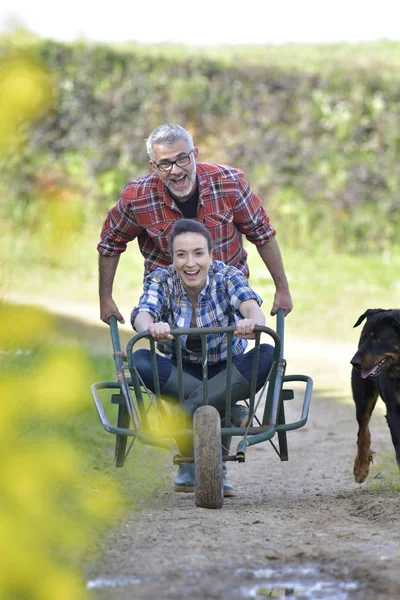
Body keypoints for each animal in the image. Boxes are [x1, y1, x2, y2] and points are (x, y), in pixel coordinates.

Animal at [350, 310, 400, 482]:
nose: (354, 362)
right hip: (364, 398)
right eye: (363, 337)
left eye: (377, 339)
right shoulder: (394, 412)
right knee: (362, 431)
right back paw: (360, 467)